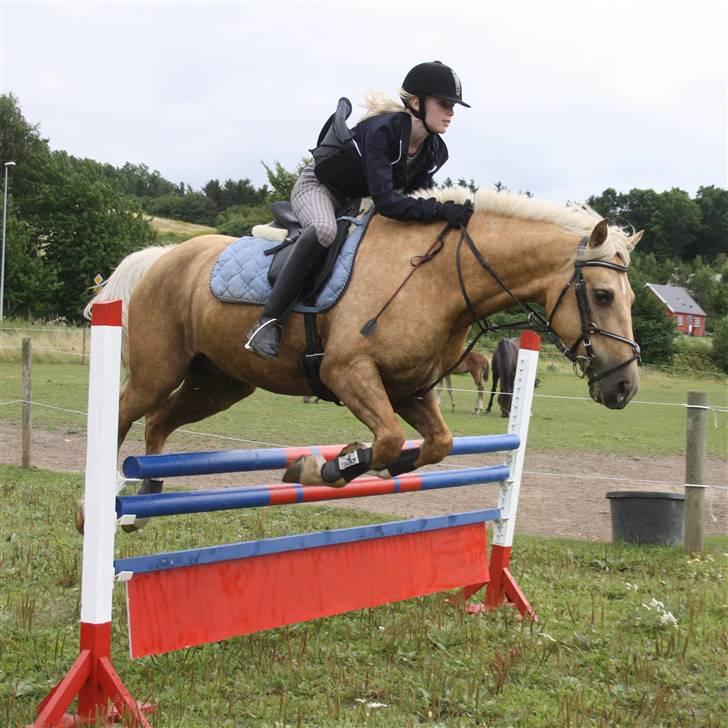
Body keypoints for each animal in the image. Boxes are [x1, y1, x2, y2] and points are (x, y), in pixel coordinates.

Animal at [84, 188, 644, 516]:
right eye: (602, 295)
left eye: (632, 299)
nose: (624, 386)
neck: (440, 279)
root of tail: (163, 256)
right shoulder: (347, 371)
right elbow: (390, 439)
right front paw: (320, 469)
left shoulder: (408, 389)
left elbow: (433, 444)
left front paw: (360, 468)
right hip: (159, 371)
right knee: (123, 415)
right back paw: (94, 509)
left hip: (219, 384)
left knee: (159, 423)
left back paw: (145, 502)